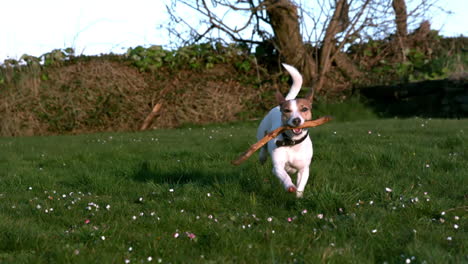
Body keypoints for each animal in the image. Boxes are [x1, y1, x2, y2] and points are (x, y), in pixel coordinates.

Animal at [256, 63, 314, 197]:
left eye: (304, 109)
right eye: (287, 111)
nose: (296, 120)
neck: (293, 143)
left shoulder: (304, 169)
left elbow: (301, 184)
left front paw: (299, 196)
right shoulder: (277, 167)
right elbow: (285, 176)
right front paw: (290, 186)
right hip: (262, 132)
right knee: (262, 147)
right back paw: (262, 156)